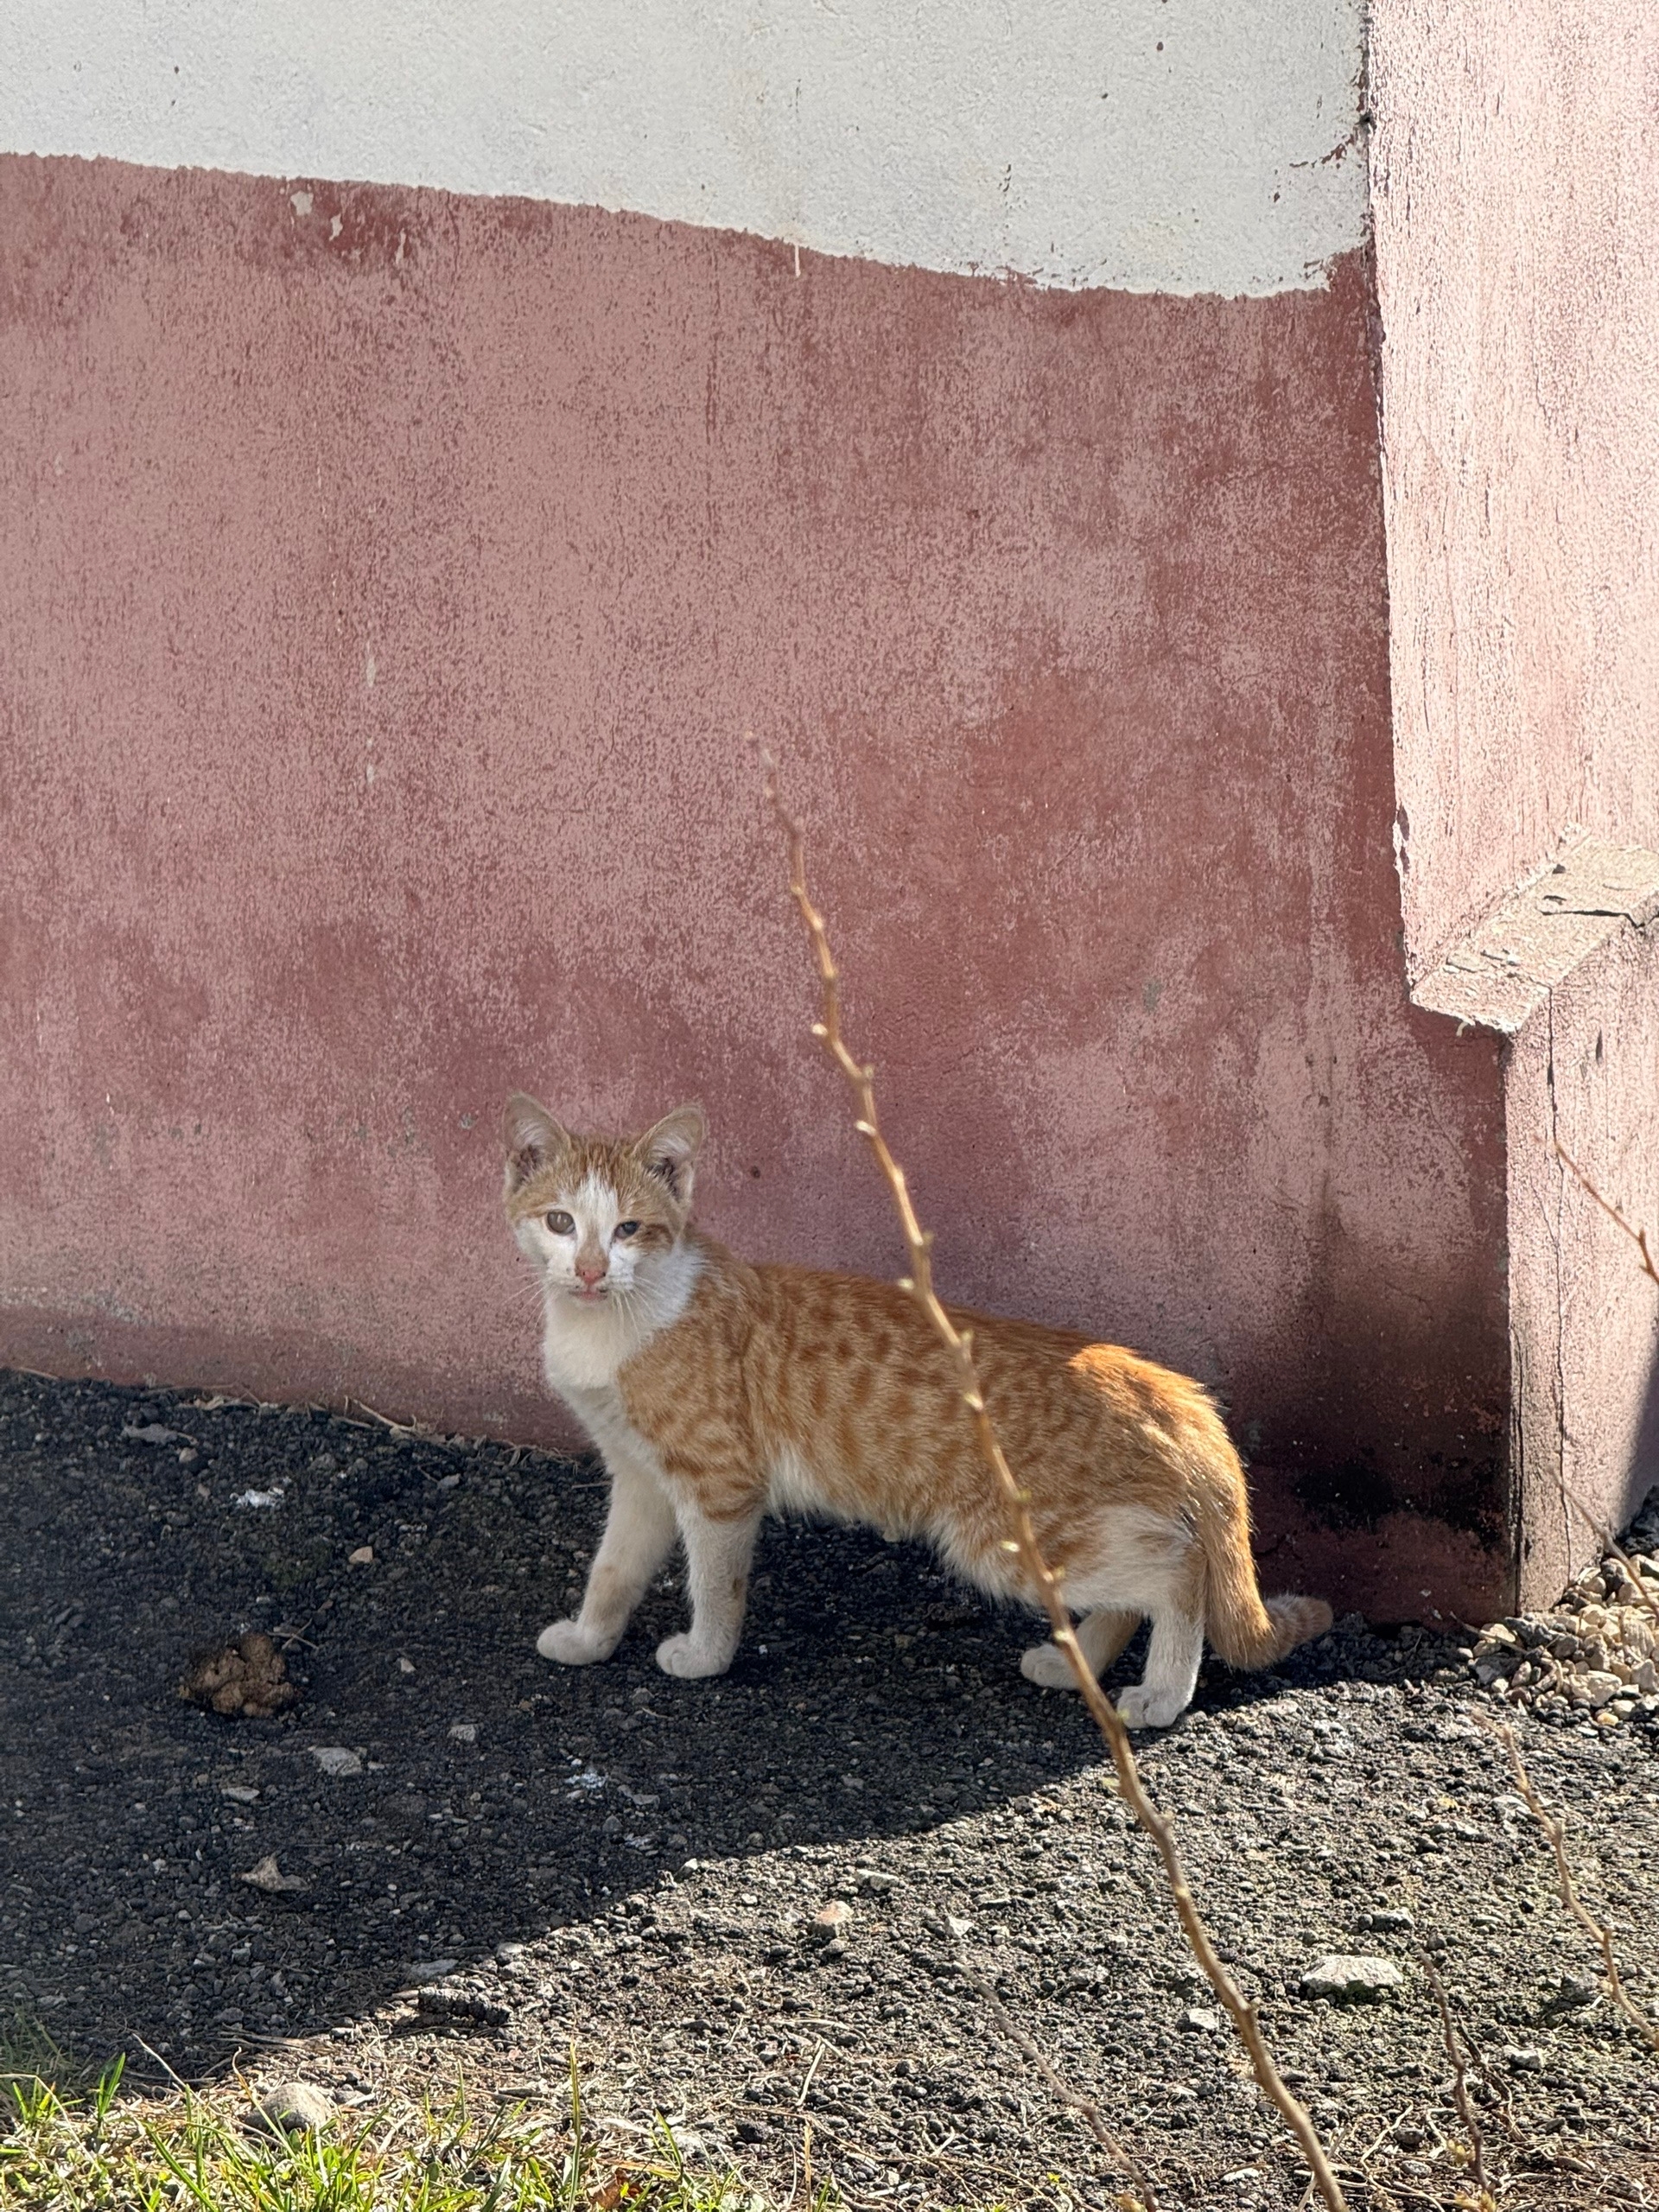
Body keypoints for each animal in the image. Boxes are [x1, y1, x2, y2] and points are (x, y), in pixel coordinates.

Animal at [503, 1093, 1332, 1727]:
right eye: (559, 1222)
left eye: (629, 1229)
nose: (589, 1271)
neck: (620, 1321)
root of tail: (1172, 1388)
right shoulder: (639, 1477)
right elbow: (613, 1571)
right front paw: (590, 1640)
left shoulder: (719, 1485)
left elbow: (716, 1585)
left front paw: (705, 1655)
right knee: (1135, 1589)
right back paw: (1079, 1665)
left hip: (1004, 1539)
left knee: (1176, 1573)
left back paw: (1162, 1694)